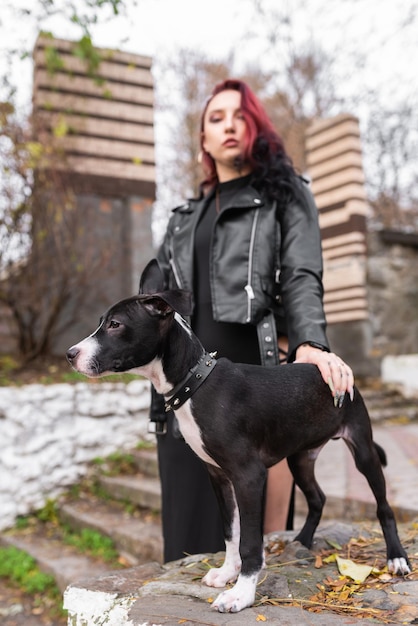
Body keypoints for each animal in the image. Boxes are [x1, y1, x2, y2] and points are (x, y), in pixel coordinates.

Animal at [67, 258, 410, 608]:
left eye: (115, 324)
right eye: (102, 322)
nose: (70, 354)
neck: (196, 383)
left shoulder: (249, 475)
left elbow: (249, 542)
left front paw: (242, 593)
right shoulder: (218, 475)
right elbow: (231, 532)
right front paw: (226, 573)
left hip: (363, 450)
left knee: (383, 507)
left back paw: (396, 558)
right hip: (300, 458)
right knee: (317, 498)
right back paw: (301, 541)